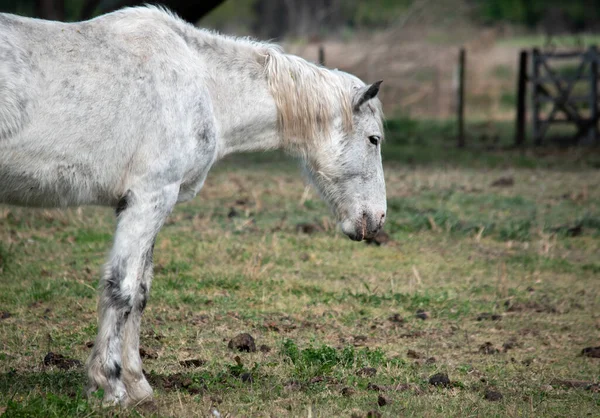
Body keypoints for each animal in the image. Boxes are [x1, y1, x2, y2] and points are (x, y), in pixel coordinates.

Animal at [0, 5, 386, 404]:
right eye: (373, 140)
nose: (376, 220)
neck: (203, 85)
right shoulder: (150, 196)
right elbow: (121, 289)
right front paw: (111, 386)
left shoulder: (140, 203)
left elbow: (140, 292)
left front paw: (137, 385)